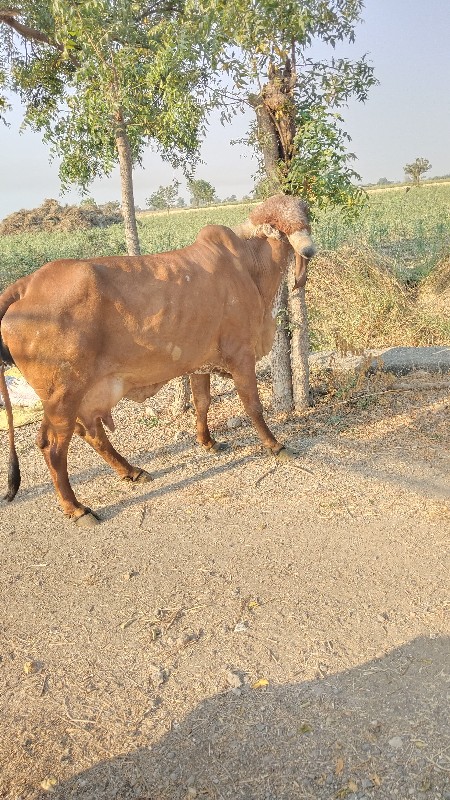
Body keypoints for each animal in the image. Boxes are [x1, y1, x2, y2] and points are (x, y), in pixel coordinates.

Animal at [0, 194, 314, 524]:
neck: (250, 267)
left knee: (90, 433)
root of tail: (25, 286)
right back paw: (77, 508)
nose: (308, 249)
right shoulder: (241, 355)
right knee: (53, 447)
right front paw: (275, 445)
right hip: (63, 395)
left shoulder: (199, 363)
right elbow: (253, 406)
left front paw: (208, 441)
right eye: (283, 225)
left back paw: (131, 471)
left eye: (304, 219)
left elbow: (202, 402)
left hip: (75, 396)